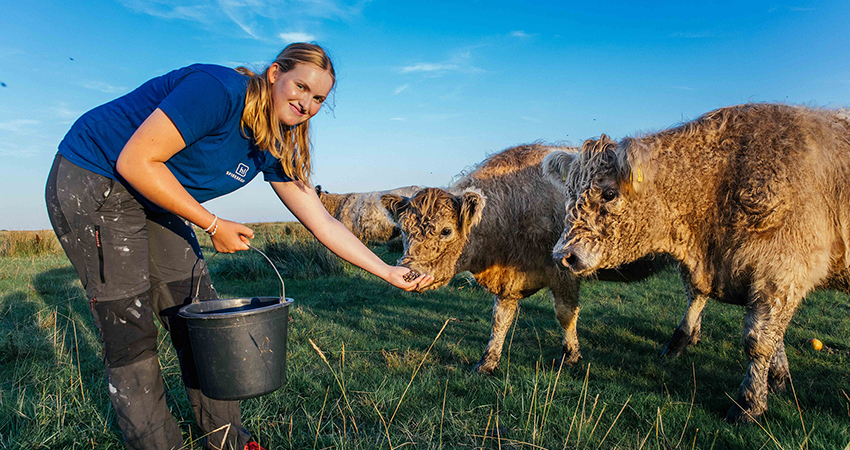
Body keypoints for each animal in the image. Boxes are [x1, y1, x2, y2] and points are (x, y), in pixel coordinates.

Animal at [381, 143, 668, 374]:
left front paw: (571, 356)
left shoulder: (564, 270)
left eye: (446, 231)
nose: (409, 272)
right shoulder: (508, 282)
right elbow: (500, 320)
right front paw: (487, 362)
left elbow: (566, 314)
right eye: (403, 230)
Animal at [543, 103, 850, 423]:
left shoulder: (781, 271)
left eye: (610, 193)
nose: (562, 255)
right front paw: (777, 380)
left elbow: (759, 341)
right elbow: (766, 334)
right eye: (568, 195)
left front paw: (749, 403)